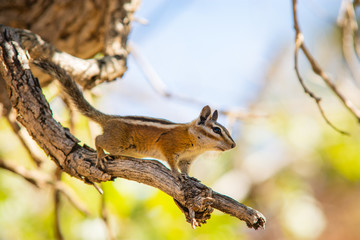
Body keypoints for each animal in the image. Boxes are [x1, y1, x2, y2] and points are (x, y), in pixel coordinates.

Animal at [33, 60, 236, 180]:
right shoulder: (170, 146)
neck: (196, 143)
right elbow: (171, 163)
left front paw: (189, 177)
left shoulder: (187, 160)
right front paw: (176, 174)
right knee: (99, 139)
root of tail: (110, 120)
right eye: (216, 130)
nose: (233, 145)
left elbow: (185, 169)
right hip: (117, 142)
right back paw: (100, 155)